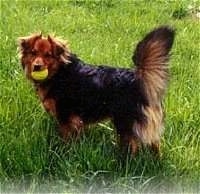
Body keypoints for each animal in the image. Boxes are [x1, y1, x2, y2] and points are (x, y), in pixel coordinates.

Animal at [18, 26, 175, 155]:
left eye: (48, 55)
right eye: (33, 53)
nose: (37, 66)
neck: (59, 72)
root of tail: (138, 78)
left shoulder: (65, 116)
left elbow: (66, 138)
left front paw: (64, 152)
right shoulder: (76, 120)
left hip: (125, 122)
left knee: (133, 147)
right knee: (155, 143)